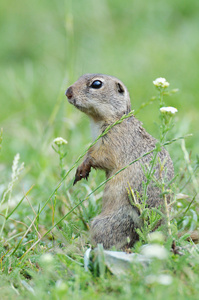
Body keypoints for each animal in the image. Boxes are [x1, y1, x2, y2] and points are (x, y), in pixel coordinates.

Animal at [65, 72, 174, 248]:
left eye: (96, 84)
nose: (68, 92)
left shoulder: (114, 141)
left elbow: (101, 157)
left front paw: (83, 167)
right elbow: (91, 152)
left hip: (104, 224)